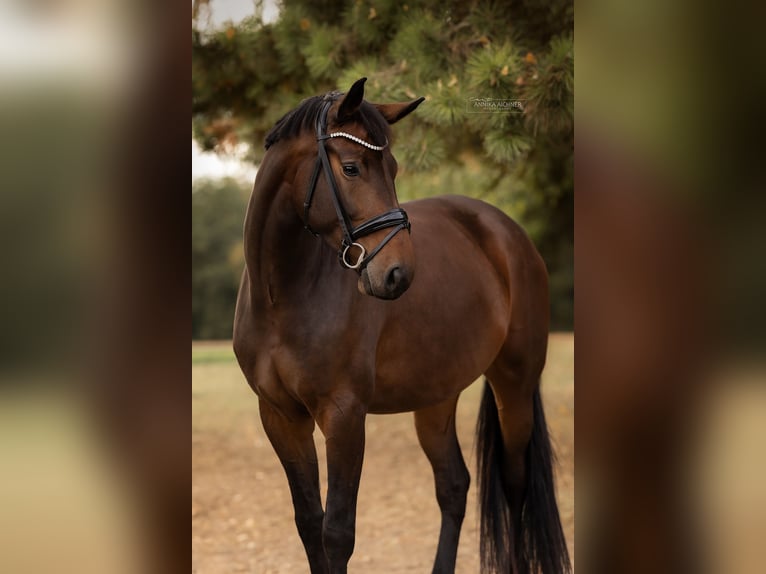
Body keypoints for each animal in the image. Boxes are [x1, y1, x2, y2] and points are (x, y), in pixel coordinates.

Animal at [233, 77, 570, 574]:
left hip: (515, 385)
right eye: (351, 168)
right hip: (435, 397)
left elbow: (337, 533)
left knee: (514, 486)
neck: (283, 297)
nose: (398, 274)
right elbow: (310, 525)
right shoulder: (279, 416)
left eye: (392, 168)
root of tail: (507, 232)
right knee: (453, 485)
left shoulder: (344, 414)